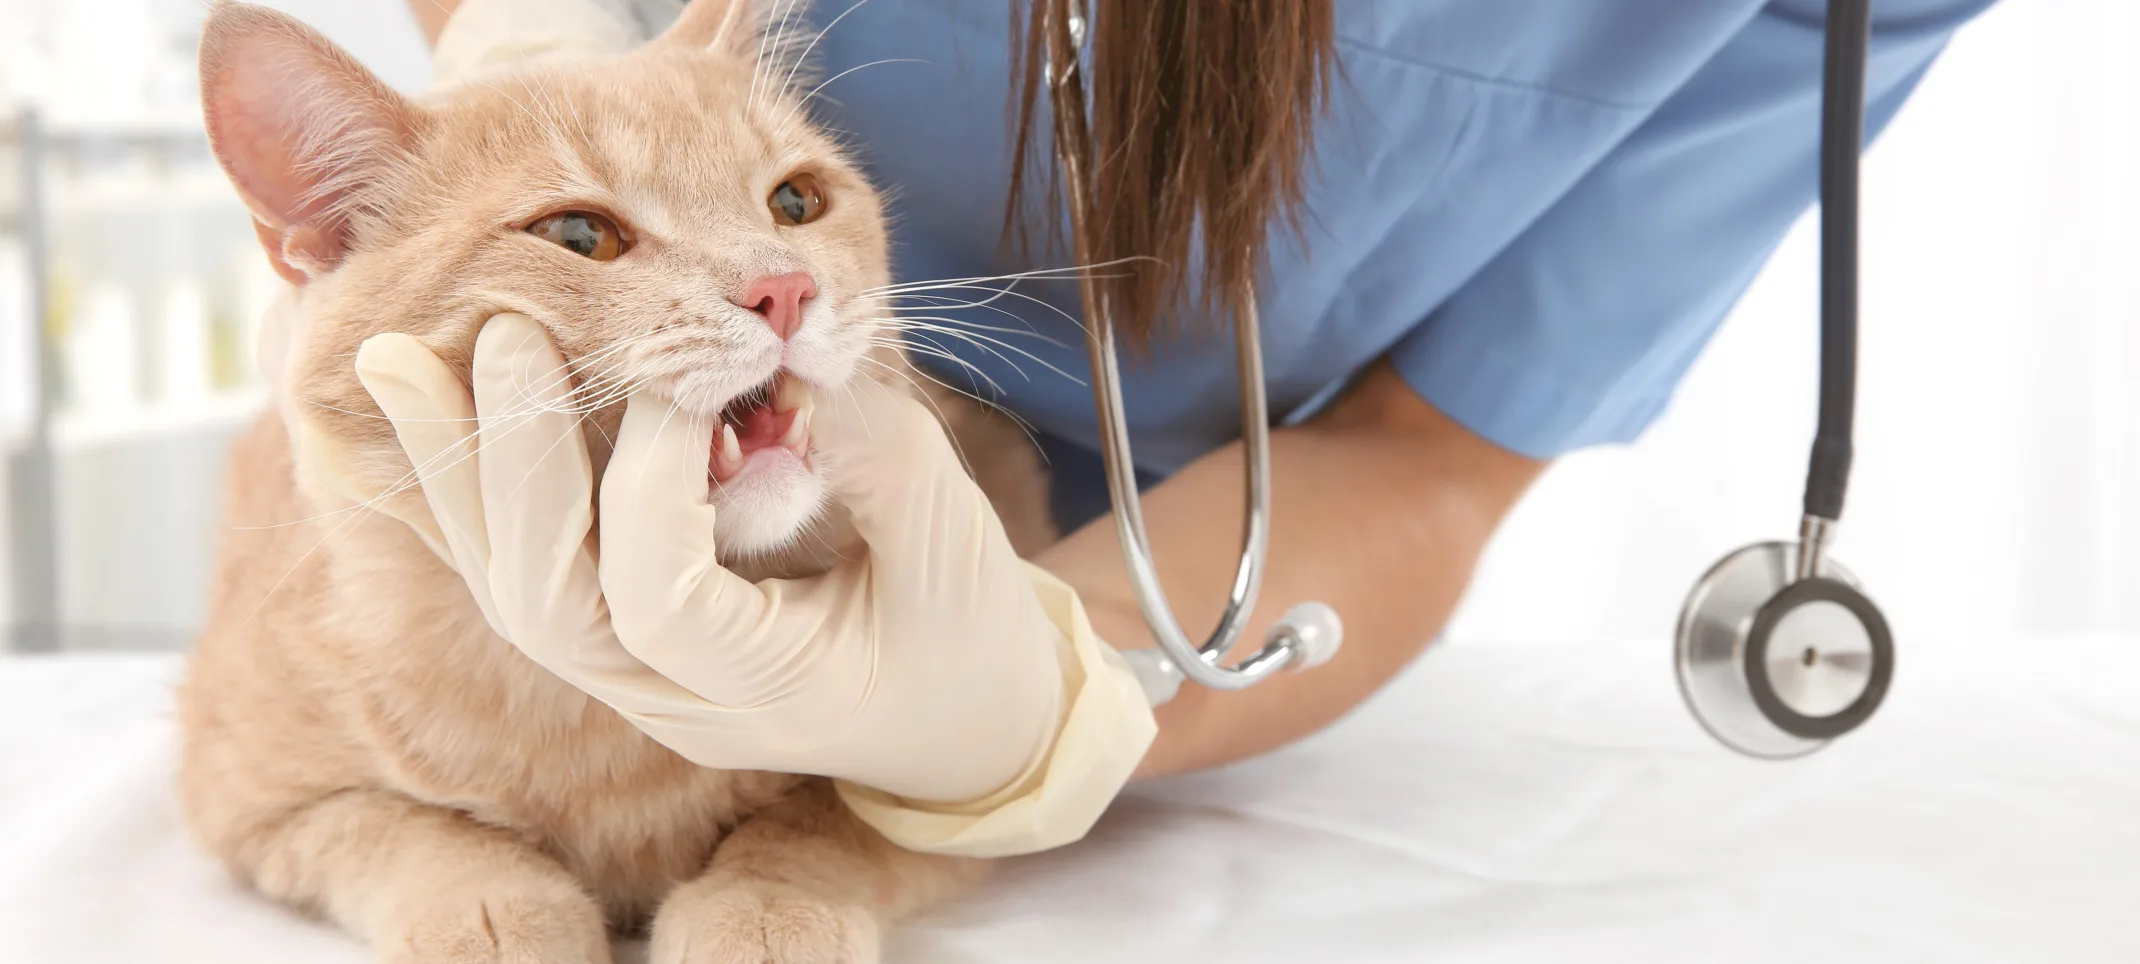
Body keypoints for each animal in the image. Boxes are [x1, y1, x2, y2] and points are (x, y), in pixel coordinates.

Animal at [173, 1, 1052, 964]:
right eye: (579, 236)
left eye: (796, 202)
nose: (786, 289)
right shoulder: (254, 803)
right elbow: (411, 833)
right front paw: (499, 911)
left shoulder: (960, 785)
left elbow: (821, 823)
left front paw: (763, 903)